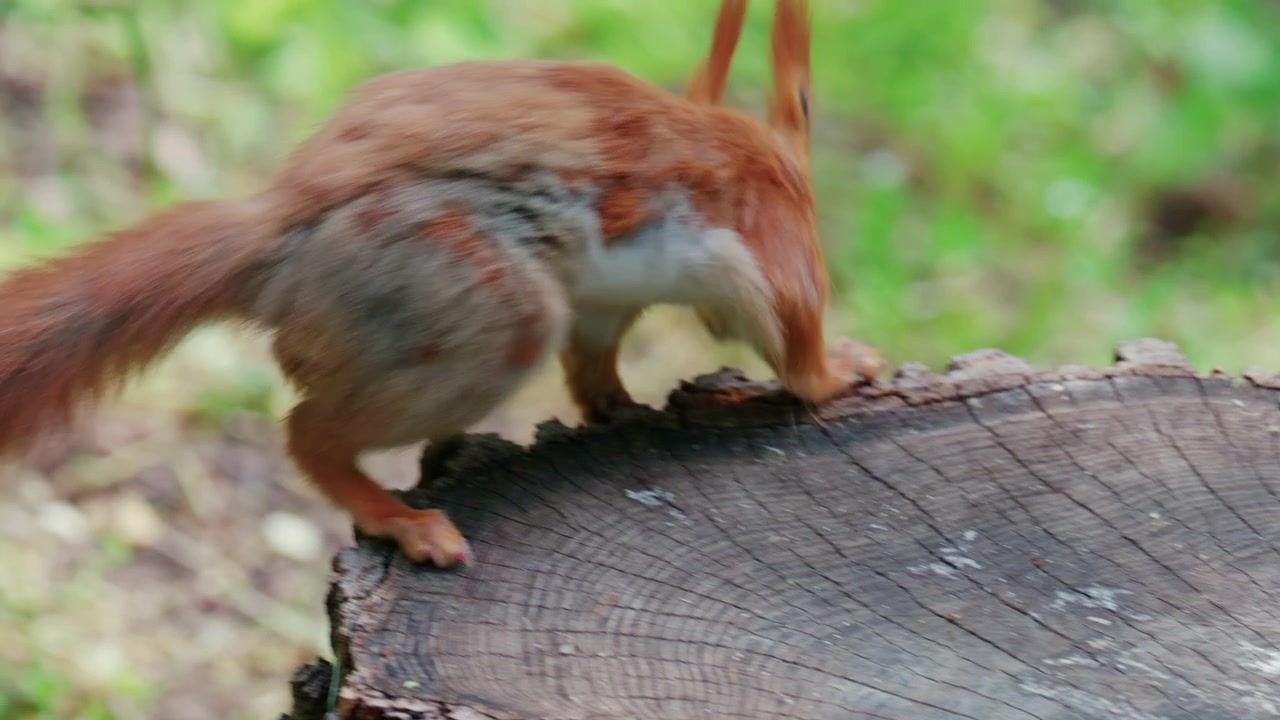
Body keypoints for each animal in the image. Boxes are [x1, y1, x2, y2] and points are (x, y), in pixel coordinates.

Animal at [0, 0, 887, 569]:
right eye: (808, 88)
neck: (759, 146)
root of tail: (281, 243)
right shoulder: (774, 245)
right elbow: (798, 349)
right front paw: (844, 369)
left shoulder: (613, 299)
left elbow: (593, 366)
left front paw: (627, 406)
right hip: (464, 294)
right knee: (310, 431)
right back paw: (402, 519)